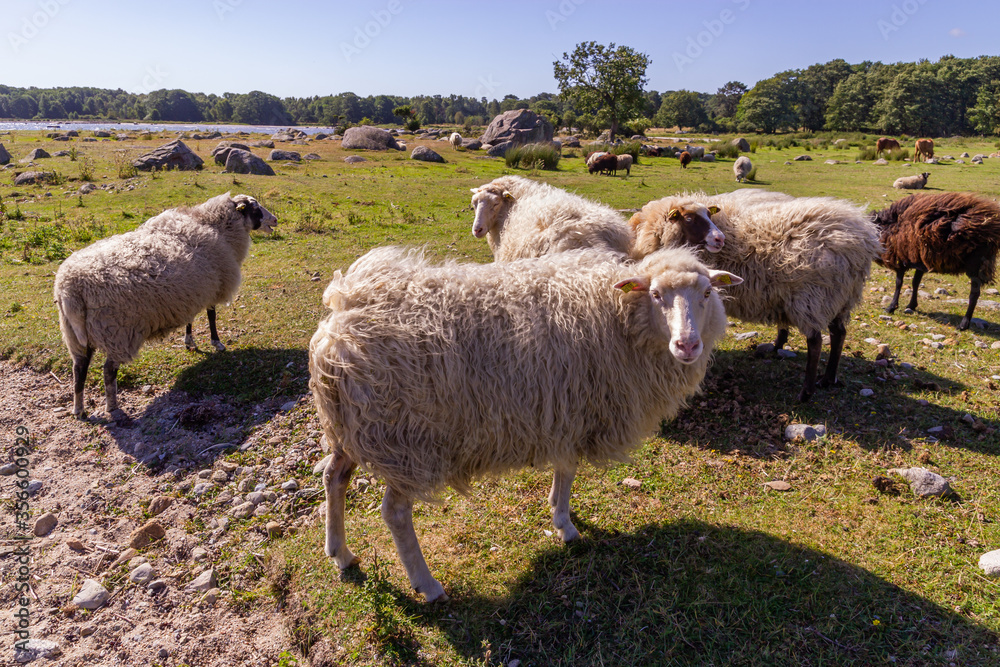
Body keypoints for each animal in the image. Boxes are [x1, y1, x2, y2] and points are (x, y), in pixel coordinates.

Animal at [52, 190, 276, 418]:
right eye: (255, 208)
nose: (275, 220)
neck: (214, 226)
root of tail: (69, 288)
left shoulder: (192, 292)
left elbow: (190, 319)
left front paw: (189, 341)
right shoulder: (213, 287)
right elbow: (211, 316)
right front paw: (217, 343)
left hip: (75, 335)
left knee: (79, 370)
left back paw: (78, 409)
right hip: (116, 332)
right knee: (108, 370)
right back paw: (112, 405)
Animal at [312, 248, 744, 604]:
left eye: (707, 293)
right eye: (655, 294)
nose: (687, 345)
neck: (617, 317)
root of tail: (340, 319)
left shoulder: (565, 412)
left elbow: (563, 469)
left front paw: (556, 509)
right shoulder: (573, 407)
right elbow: (568, 471)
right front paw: (565, 525)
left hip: (351, 428)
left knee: (334, 477)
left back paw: (340, 553)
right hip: (404, 439)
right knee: (395, 513)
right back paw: (428, 585)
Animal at [628, 190, 880, 404]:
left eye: (709, 214)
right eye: (689, 218)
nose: (719, 239)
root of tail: (860, 240)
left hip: (812, 296)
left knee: (816, 342)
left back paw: (806, 392)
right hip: (840, 297)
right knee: (839, 334)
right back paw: (828, 379)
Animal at [868, 192, 1000, 330]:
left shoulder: (901, 258)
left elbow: (899, 283)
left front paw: (891, 307)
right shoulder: (919, 261)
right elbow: (915, 282)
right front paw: (911, 305)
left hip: (975, 264)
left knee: (974, 293)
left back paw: (963, 324)